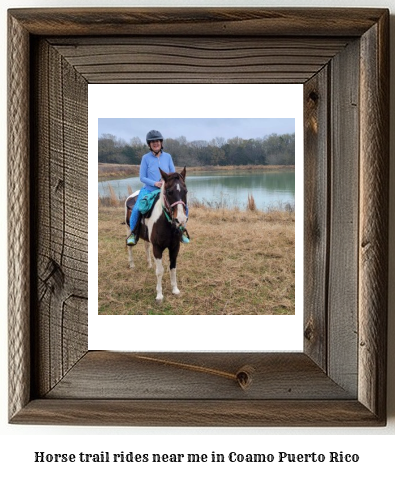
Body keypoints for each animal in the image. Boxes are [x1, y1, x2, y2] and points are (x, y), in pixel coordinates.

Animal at [126, 167, 189, 302]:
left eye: (185, 191)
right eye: (169, 192)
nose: (180, 219)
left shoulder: (175, 247)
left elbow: (173, 267)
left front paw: (175, 289)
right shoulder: (157, 248)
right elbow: (160, 271)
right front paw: (159, 295)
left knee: (146, 247)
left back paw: (149, 264)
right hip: (129, 229)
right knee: (130, 247)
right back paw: (132, 264)